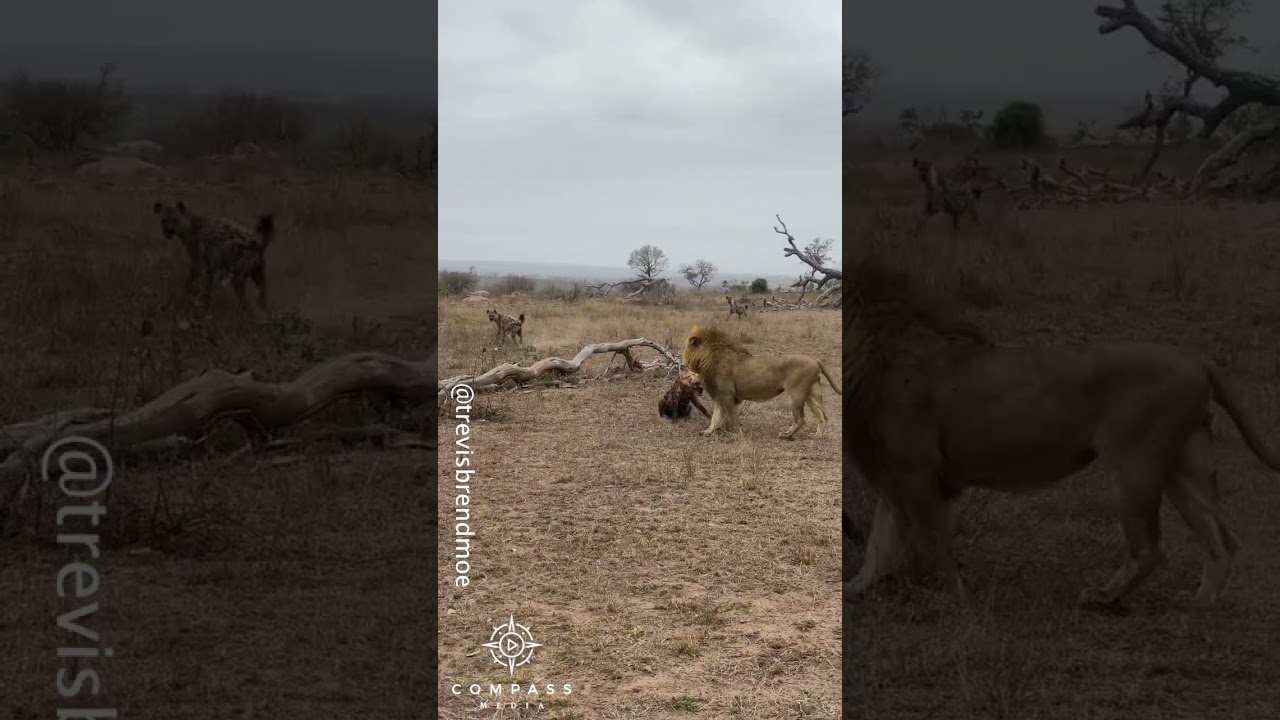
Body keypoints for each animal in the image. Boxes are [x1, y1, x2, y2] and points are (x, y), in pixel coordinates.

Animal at [680, 324, 839, 438]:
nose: (682, 361)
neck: (710, 358)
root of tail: (815, 359)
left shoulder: (727, 396)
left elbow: (732, 418)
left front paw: (738, 435)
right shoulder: (720, 396)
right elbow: (715, 417)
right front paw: (707, 431)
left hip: (796, 393)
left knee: (801, 419)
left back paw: (786, 435)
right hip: (811, 394)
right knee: (824, 416)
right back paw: (817, 436)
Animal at [839, 257, 1280, 604]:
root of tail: (1196, 359)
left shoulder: (919, 472)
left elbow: (932, 544)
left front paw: (953, 600)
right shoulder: (895, 471)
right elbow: (879, 545)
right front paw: (852, 590)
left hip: (1135, 463)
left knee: (1150, 547)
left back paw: (1104, 598)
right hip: (1182, 466)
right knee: (1223, 537)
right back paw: (1199, 602)